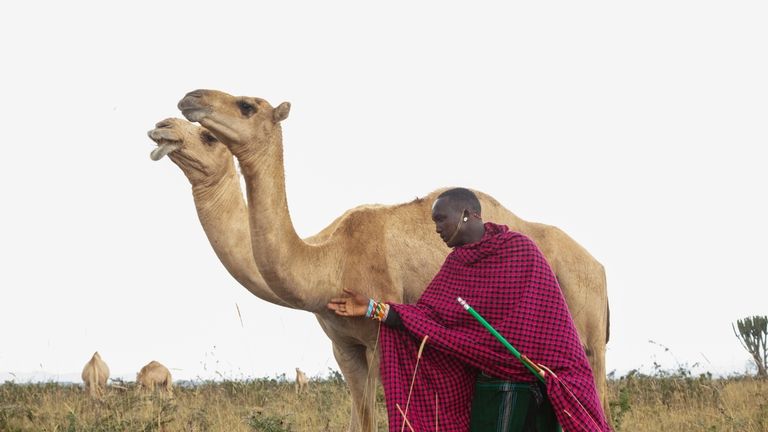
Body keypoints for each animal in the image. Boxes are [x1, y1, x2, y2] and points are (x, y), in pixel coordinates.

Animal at [171, 89, 608, 430]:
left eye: (245, 106)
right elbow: (360, 417)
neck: (329, 261)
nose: (182, 106)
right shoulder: (343, 346)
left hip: (587, 338)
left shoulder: (382, 340)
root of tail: (599, 266)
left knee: (595, 395)